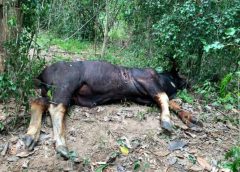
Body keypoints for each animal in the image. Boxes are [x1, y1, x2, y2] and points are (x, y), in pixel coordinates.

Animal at [22, 60, 199, 159]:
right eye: (180, 75)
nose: (189, 81)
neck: (164, 80)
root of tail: (41, 74)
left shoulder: (146, 98)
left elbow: (172, 102)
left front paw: (193, 120)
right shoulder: (147, 81)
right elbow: (165, 97)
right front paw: (167, 123)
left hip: (53, 91)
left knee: (38, 102)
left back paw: (29, 138)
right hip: (65, 83)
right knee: (56, 107)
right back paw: (62, 147)